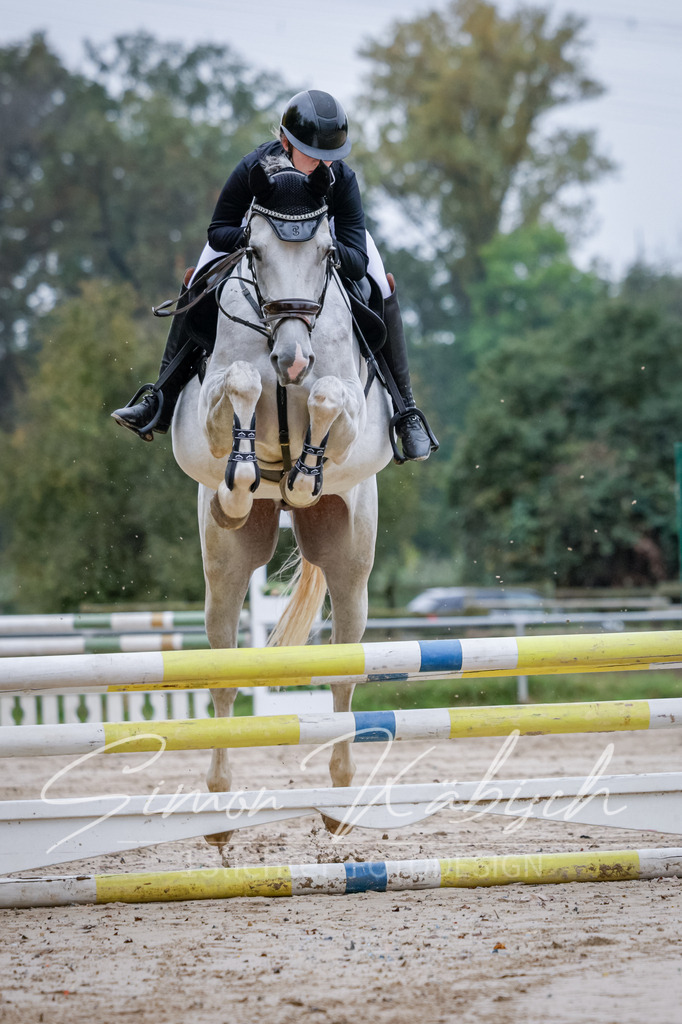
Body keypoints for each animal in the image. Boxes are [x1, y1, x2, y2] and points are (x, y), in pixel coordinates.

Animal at [171, 159, 393, 852]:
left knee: (345, 670)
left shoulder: (350, 410)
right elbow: (241, 383)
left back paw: (339, 801)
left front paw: (301, 475)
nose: (292, 359)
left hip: (351, 569)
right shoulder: (214, 402)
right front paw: (248, 471)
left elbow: (327, 396)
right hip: (225, 570)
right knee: (222, 672)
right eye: (258, 253)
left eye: (326, 253)